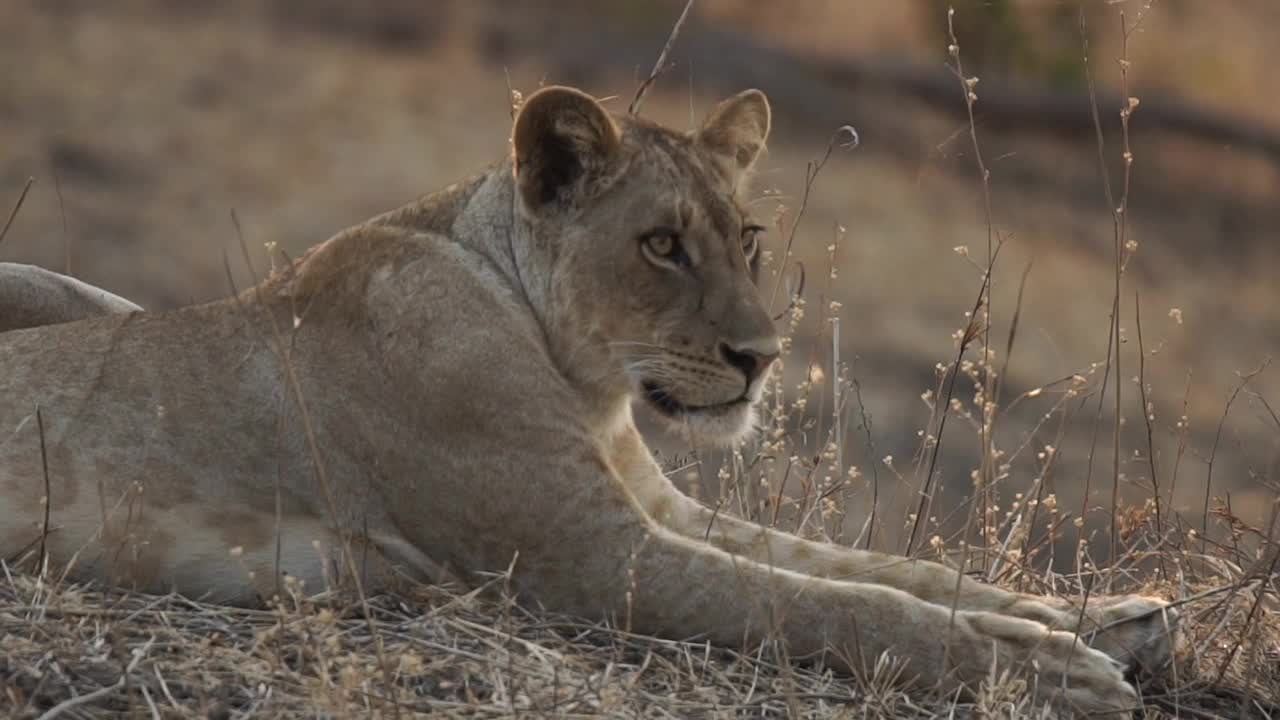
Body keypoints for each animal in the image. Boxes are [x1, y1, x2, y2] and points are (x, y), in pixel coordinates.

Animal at [0, 87, 1172, 707]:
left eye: (747, 235)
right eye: (661, 245)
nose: (762, 358)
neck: (584, 382)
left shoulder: (659, 508)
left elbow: (885, 567)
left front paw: (1098, 617)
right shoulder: (587, 555)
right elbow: (823, 602)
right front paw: (1045, 671)